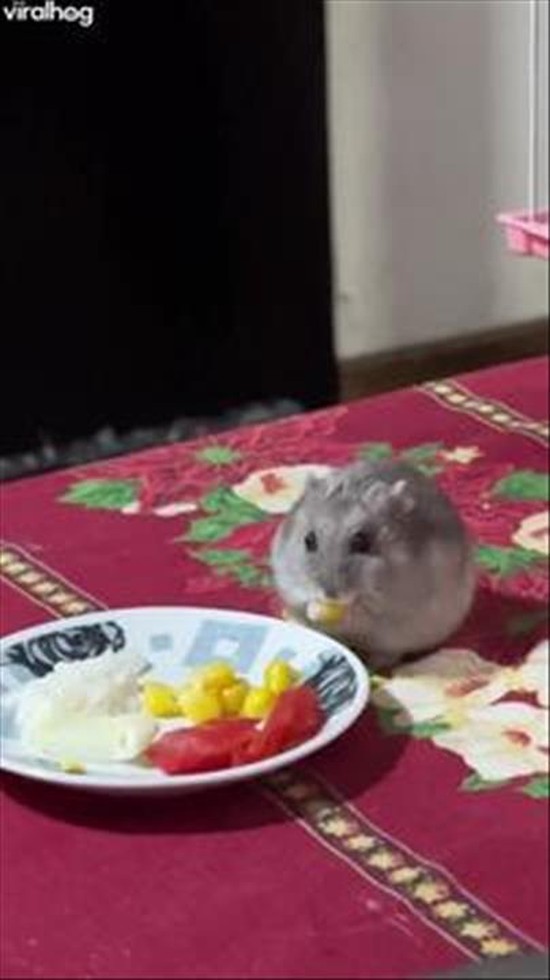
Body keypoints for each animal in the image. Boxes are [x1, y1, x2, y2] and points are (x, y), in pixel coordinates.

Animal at [270, 460, 476, 670]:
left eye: (361, 542)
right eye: (309, 540)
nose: (330, 595)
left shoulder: (391, 604)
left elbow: (363, 612)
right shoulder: (290, 583)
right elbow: (303, 600)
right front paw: (315, 610)